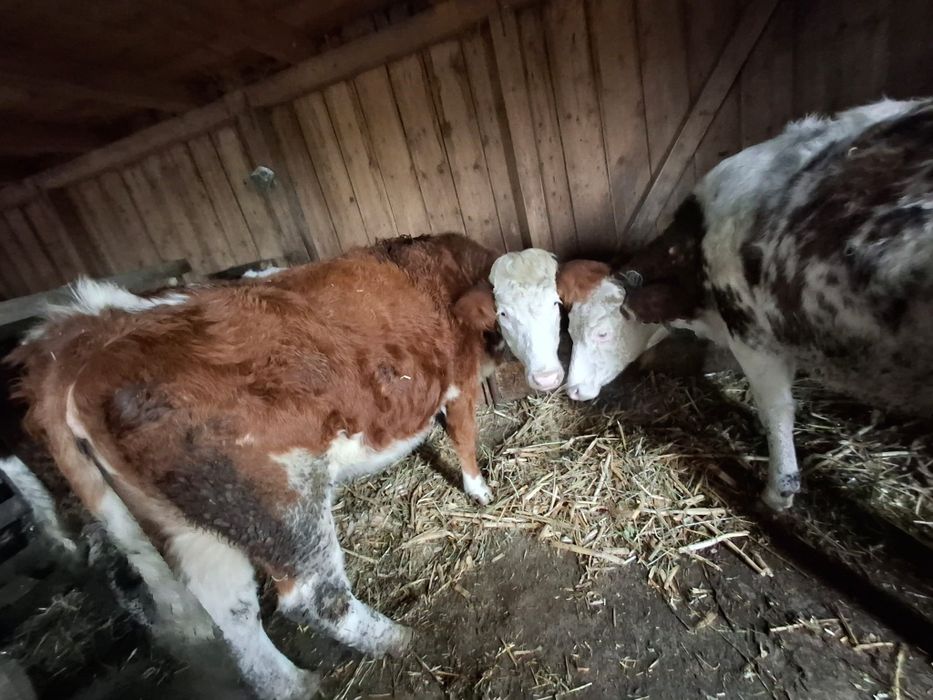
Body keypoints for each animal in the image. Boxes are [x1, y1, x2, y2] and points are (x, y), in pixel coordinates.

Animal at [4, 233, 532, 699]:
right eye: (506, 313)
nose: (544, 374)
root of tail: (76, 362)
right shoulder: (459, 381)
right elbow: (464, 438)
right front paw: (480, 491)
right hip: (281, 498)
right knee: (312, 595)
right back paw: (398, 640)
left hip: (185, 525)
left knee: (231, 611)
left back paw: (292, 685)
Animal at [522, 98, 933, 511]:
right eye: (569, 330)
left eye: (603, 333)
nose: (572, 389)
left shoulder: (752, 335)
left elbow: (776, 409)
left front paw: (779, 491)